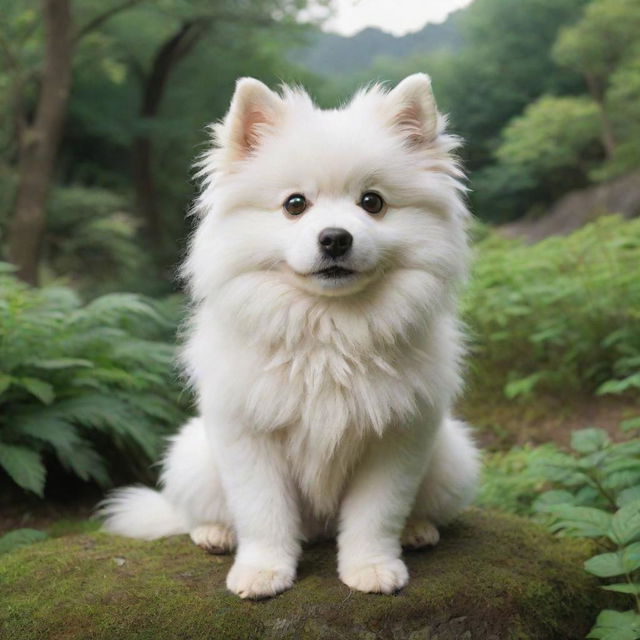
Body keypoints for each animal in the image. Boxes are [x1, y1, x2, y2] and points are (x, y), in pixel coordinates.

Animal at [101, 74, 480, 600]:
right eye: (295, 205)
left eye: (373, 202)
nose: (335, 238)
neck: (330, 332)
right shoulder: (249, 436)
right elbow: (263, 514)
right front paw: (263, 572)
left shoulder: (397, 438)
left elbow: (376, 514)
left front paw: (371, 567)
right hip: (192, 458)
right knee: (196, 514)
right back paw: (214, 534)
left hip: (451, 458)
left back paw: (417, 530)